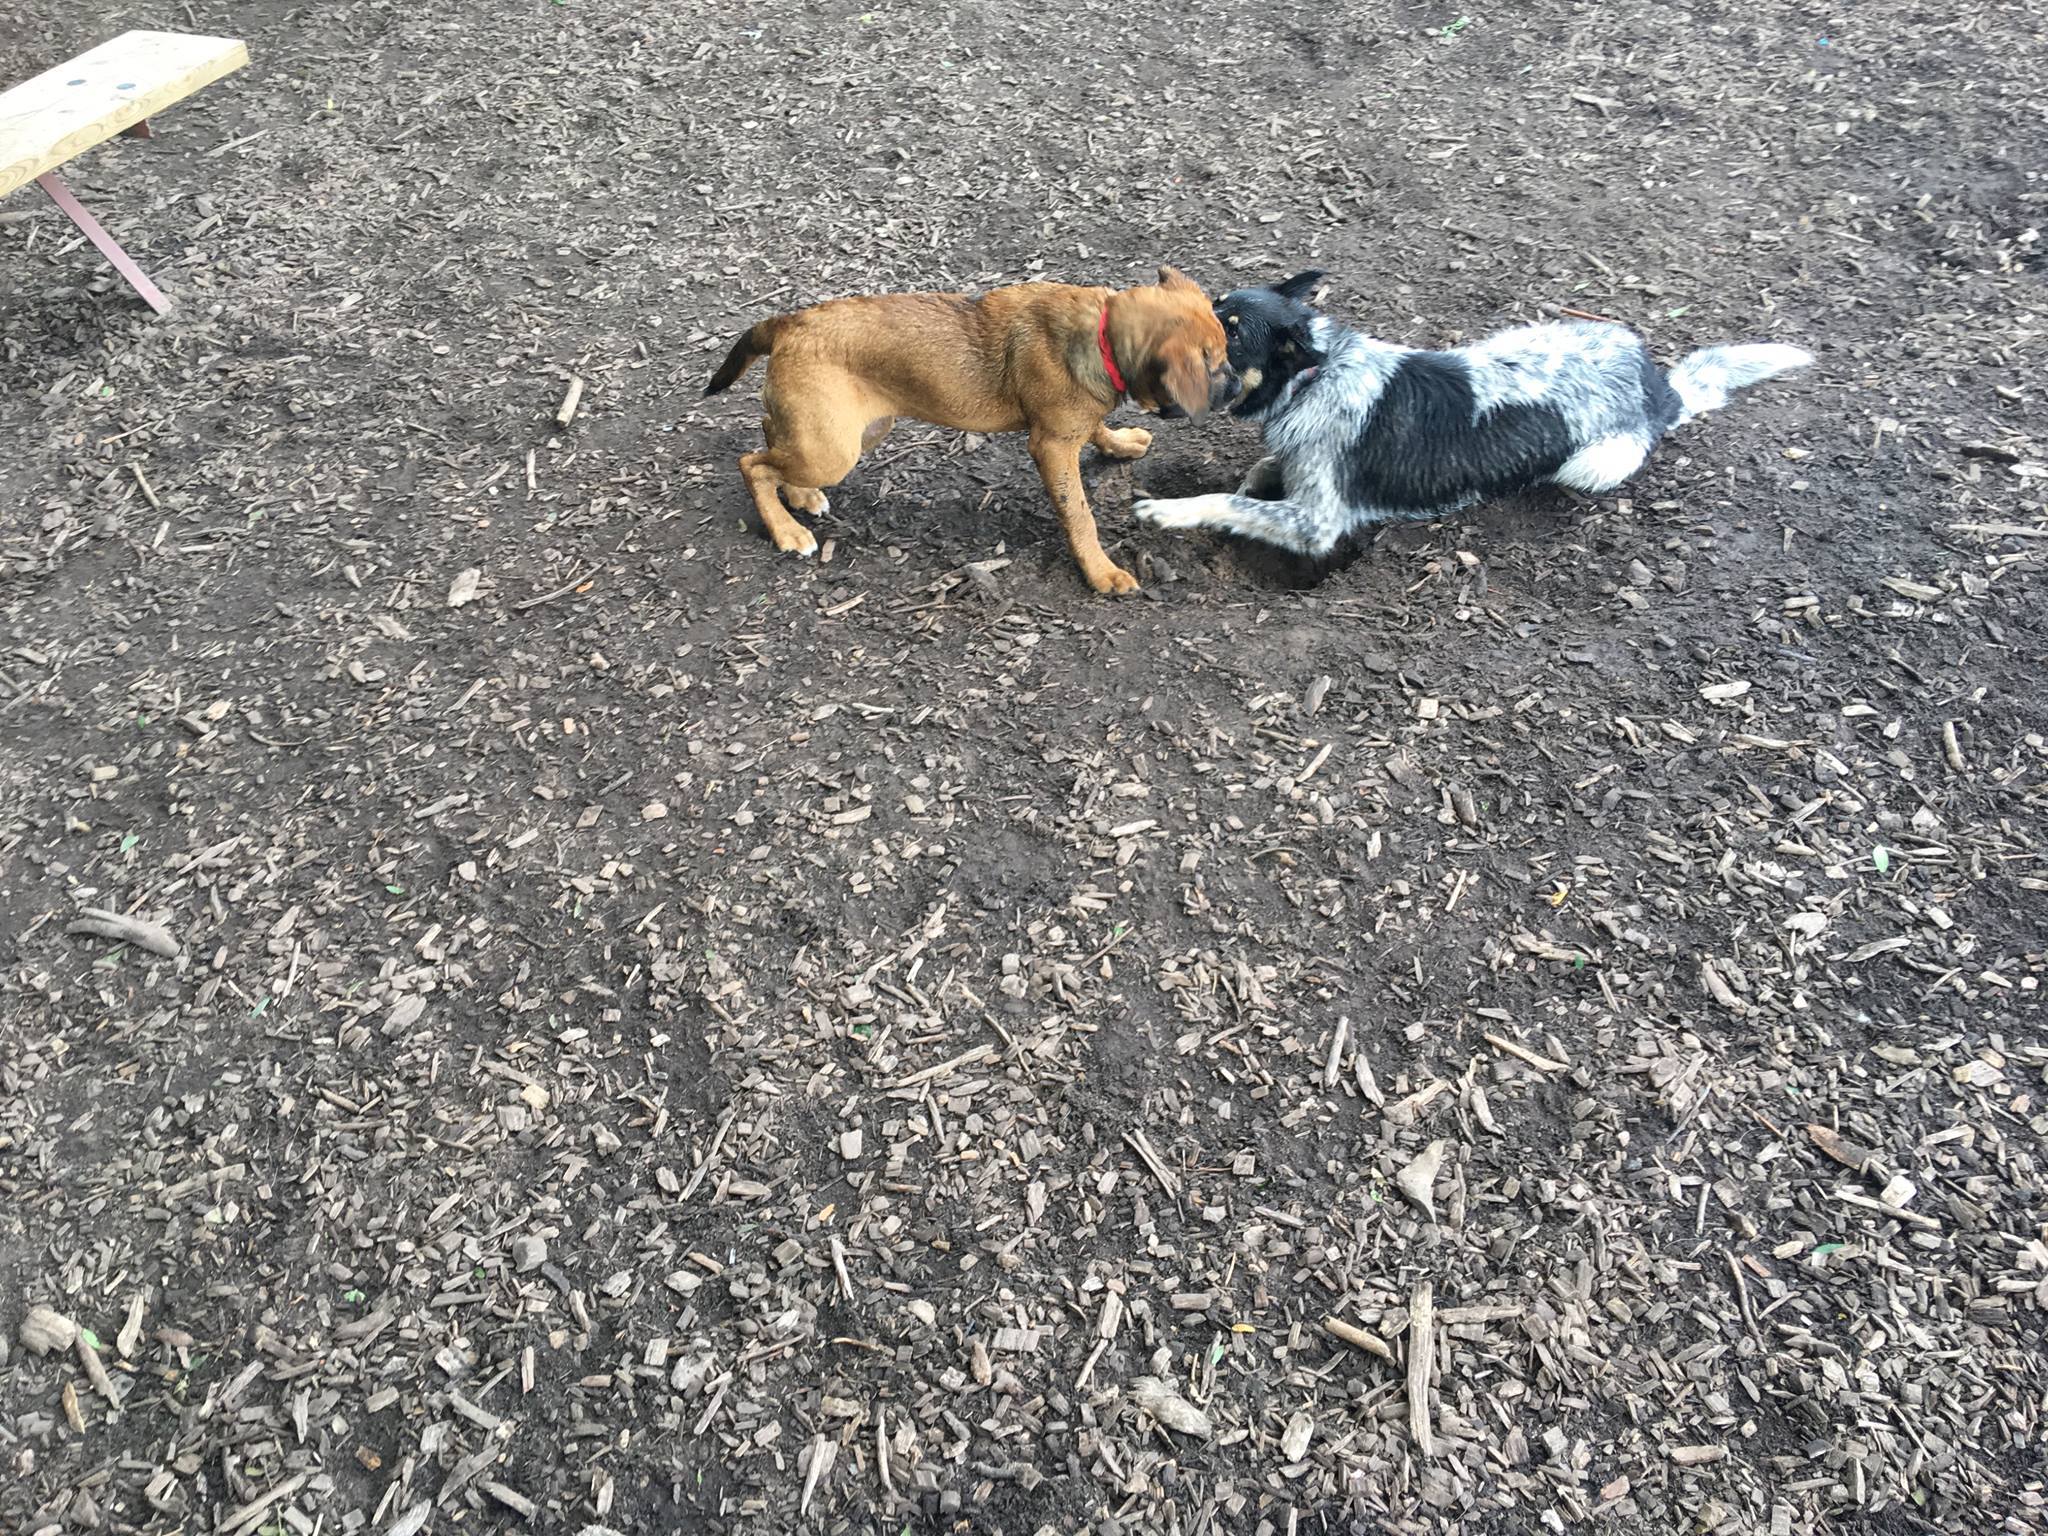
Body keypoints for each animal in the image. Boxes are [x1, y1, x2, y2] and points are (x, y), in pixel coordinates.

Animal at [704, 268, 1220, 593]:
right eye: (1215, 368)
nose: (1234, 387)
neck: (1102, 335)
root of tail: (789, 324)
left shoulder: (1073, 423)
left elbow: (1097, 428)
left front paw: (1121, 443)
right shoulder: (1052, 447)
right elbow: (1080, 516)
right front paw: (1101, 573)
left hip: (851, 431)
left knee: (770, 434)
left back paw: (801, 496)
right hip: (833, 449)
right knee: (752, 464)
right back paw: (787, 531)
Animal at [1130, 272, 1818, 561]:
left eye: (1225, 334)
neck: (1315, 378)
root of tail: (1659, 387)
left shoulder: (1317, 524)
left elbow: (1226, 500)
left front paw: (1172, 511)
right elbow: (1258, 474)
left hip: (1595, 461)